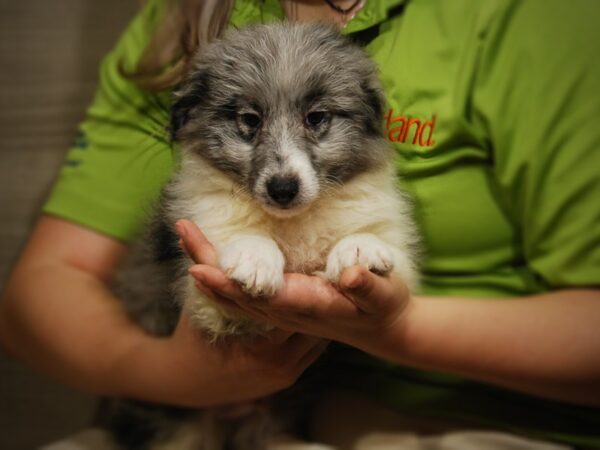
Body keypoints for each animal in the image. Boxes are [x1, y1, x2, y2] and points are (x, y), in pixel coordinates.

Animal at [108, 22, 418, 450]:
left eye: (315, 117)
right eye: (250, 120)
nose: (282, 188)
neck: (291, 221)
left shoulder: (392, 241)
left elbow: (376, 240)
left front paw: (359, 249)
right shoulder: (202, 282)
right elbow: (241, 237)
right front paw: (255, 262)